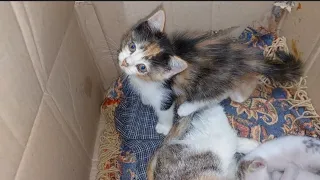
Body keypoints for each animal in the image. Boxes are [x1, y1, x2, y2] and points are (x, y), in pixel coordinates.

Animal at [117, 8, 302, 135]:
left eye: (142, 67)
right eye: (132, 46)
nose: (125, 62)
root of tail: (243, 57)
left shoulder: (166, 93)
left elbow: (165, 111)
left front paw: (164, 127)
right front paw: (145, 98)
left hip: (211, 80)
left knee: (218, 93)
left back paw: (186, 108)